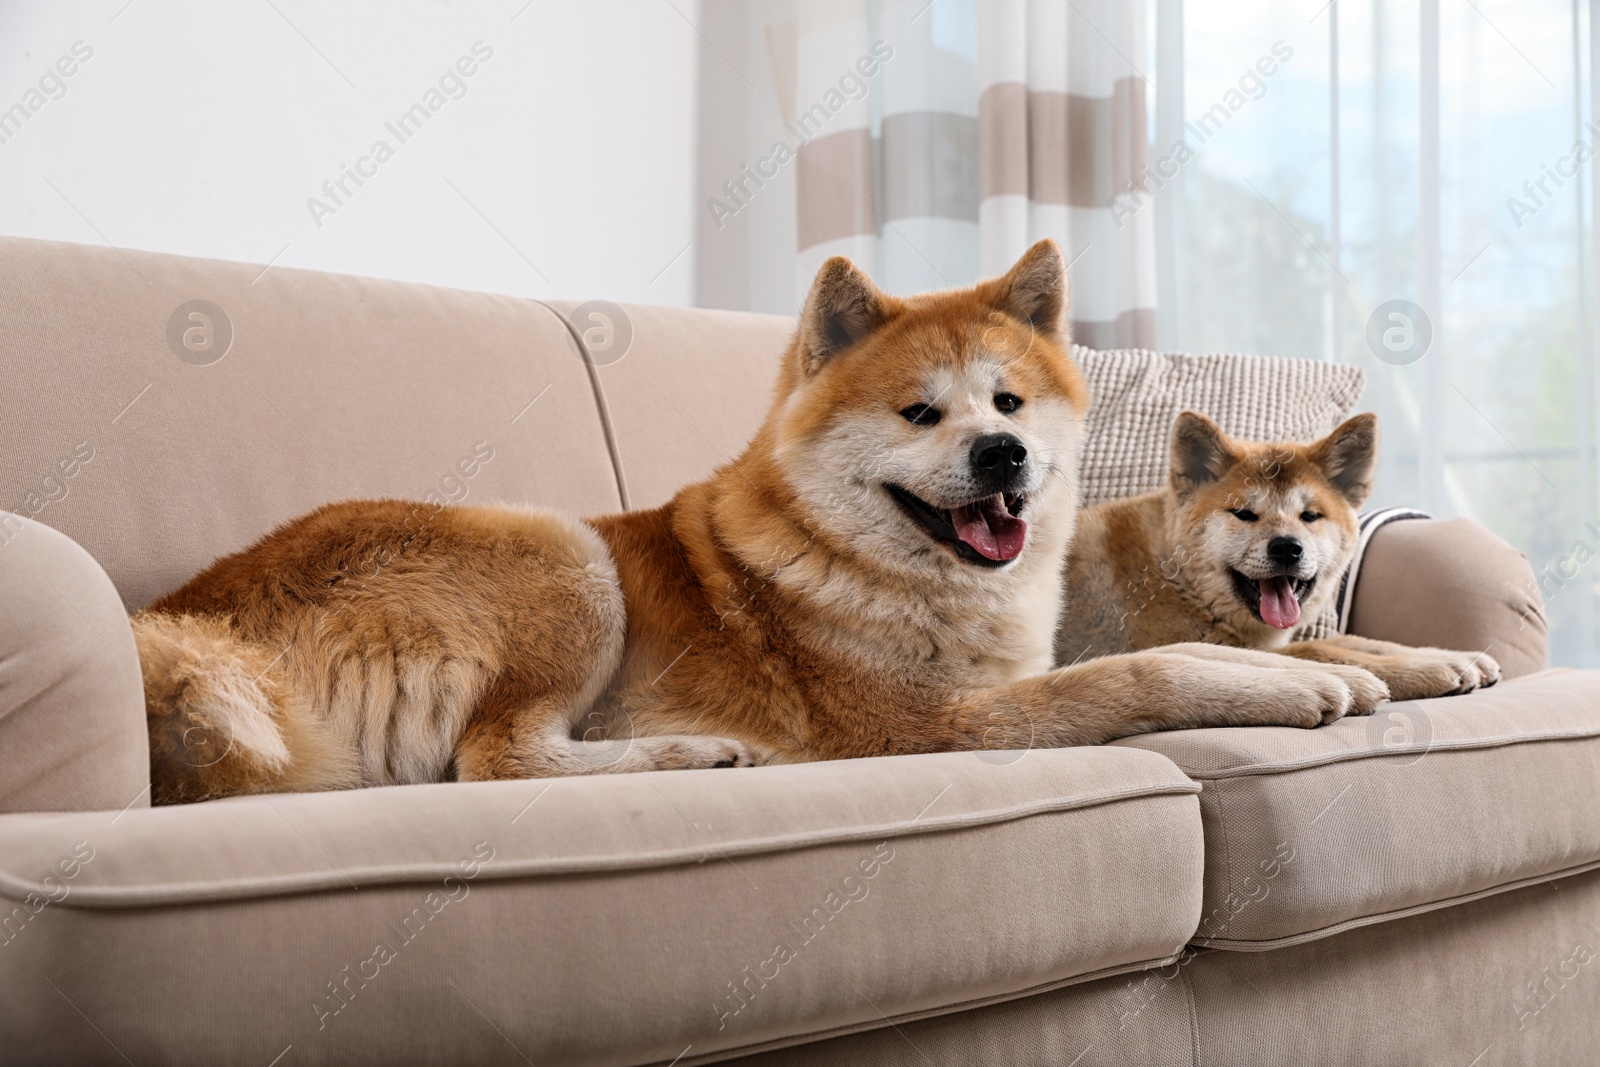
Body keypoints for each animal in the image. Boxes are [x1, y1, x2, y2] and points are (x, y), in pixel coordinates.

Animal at [134, 241, 1388, 806]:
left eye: (1011, 403)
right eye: (920, 411)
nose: (1004, 457)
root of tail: (199, 618)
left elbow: (1187, 652)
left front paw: (1326, 666)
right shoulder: (930, 727)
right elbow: (1136, 673)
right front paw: (1284, 688)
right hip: (566, 554)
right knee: (497, 759)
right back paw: (696, 752)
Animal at [1062, 409, 1497, 700]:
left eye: (1310, 516)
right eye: (1243, 513)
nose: (1287, 546)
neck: (1175, 578)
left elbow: (1359, 640)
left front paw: (1457, 655)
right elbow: (1323, 649)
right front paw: (1430, 668)